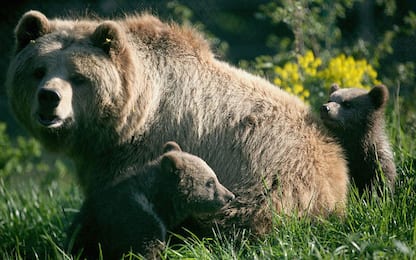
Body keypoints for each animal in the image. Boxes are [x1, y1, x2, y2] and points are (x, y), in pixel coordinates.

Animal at [6, 10, 350, 236]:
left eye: (78, 77)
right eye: (38, 70)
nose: (49, 97)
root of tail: (338, 175)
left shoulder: (143, 148)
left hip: (269, 184)